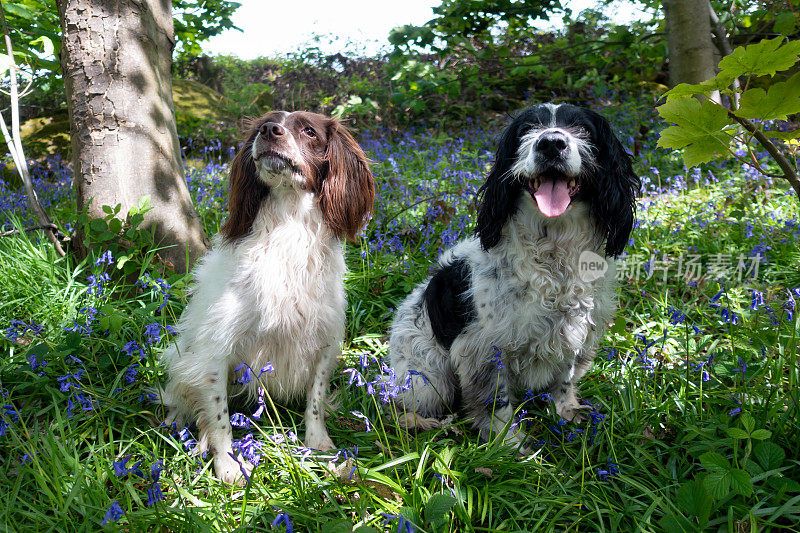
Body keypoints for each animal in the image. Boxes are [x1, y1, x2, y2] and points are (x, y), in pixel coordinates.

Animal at [159, 111, 378, 482]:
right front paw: (228, 466)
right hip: (185, 358)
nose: (268, 131)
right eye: (266, 123)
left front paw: (318, 443)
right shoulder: (216, 347)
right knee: (184, 399)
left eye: (309, 131)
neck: (289, 224)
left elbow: (316, 398)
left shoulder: (326, 337)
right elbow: (219, 417)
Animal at [388, 104, 636, 444]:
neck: (552, 250)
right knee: (398, 406)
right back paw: (424, 423)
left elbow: (565, 378)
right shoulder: (484, 346)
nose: (551, 143)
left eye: (582, 128)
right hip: (426, 380)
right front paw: (507, 442)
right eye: (527, 129)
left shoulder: (576, 331)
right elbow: (496, 398)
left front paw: (566, 412)